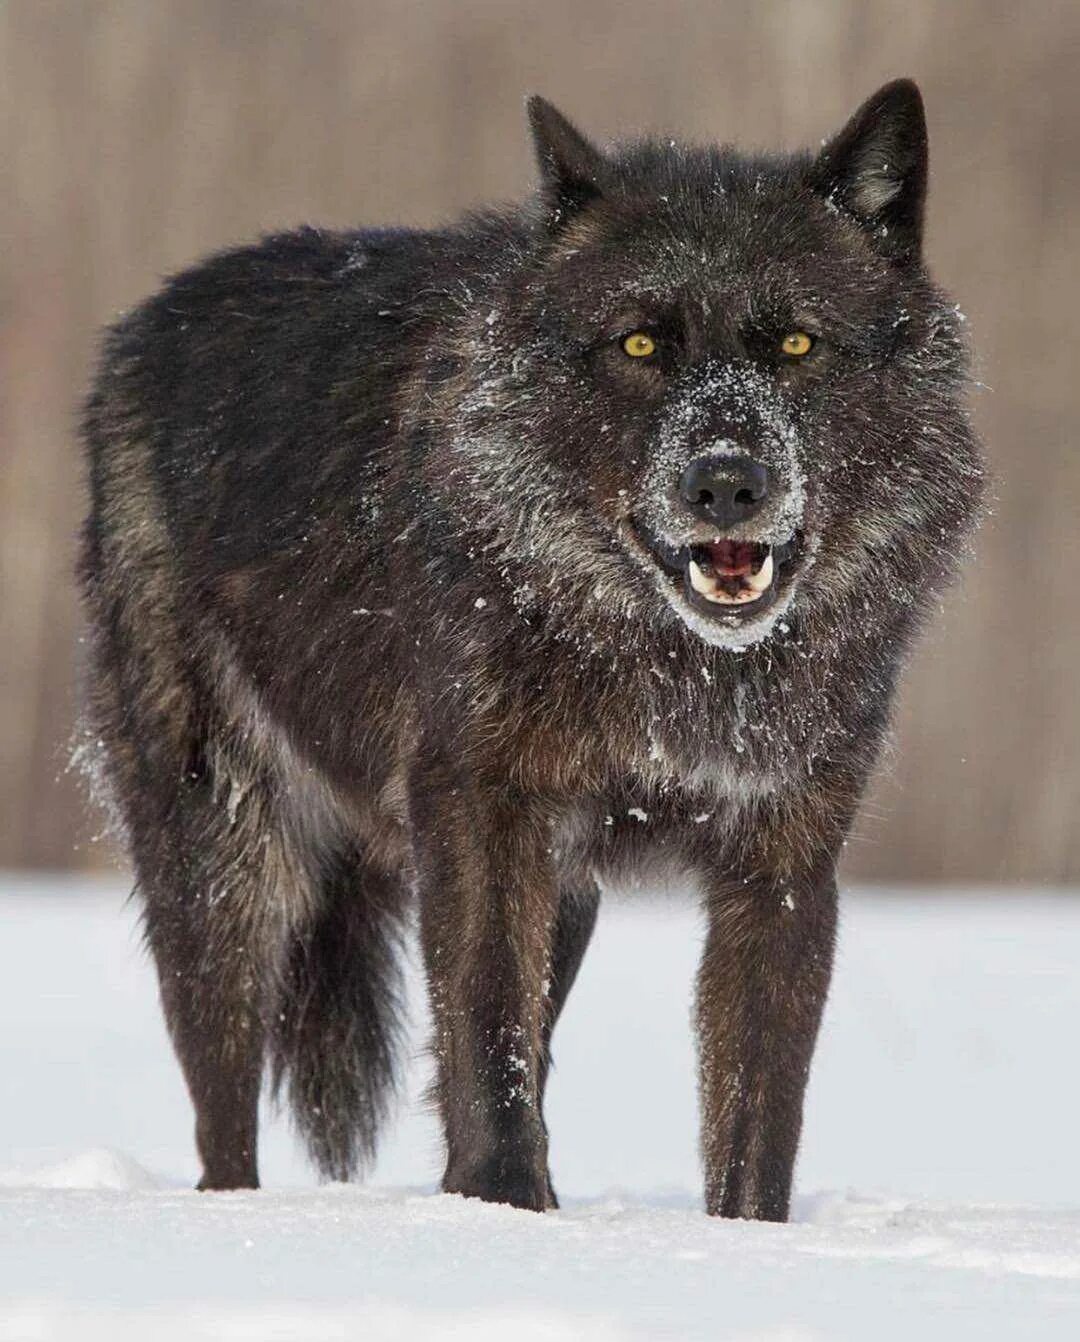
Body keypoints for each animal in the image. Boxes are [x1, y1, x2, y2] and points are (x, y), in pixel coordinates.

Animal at [80, 81, 982, 1218]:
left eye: (797, 348)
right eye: (640, 346)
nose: (726, 481)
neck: (668, 662)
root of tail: (139, 327)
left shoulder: (780, 859)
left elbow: (756, 1111)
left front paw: (740, 1240)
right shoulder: (478, 810)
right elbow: (486, 1043)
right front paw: (506, 1214)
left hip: (563, 896)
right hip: (226, 856)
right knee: (223, 1116)